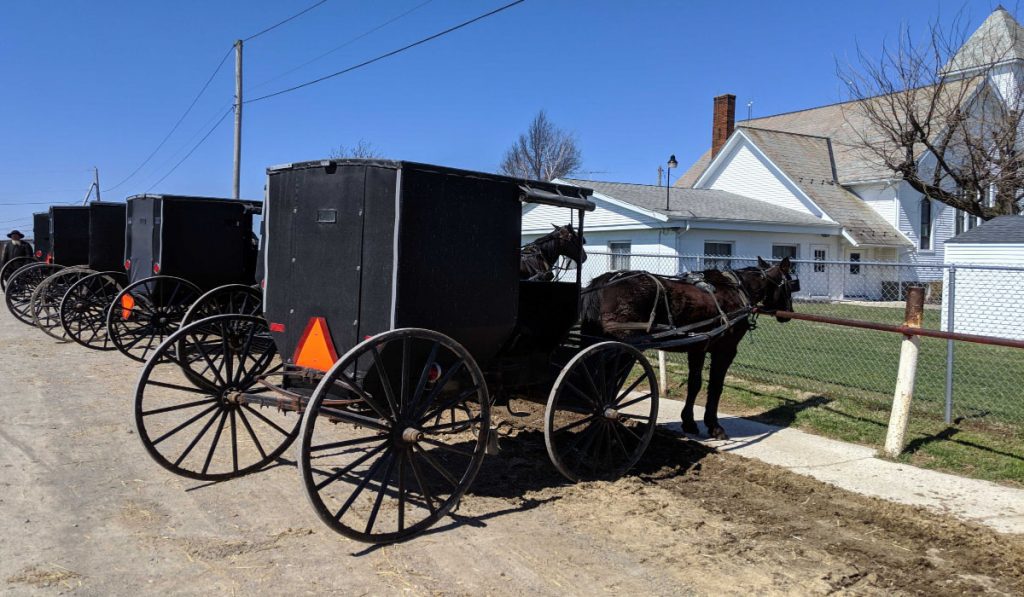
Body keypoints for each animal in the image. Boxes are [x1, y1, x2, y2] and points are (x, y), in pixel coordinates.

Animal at [581, 257, 794, 438]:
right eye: (791, 284)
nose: (788, 313)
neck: (737, 290)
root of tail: (603, 282)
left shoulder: (697, 348)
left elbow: (695, 384)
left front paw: (689, 422)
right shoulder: (725, 351)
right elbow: (715, 386)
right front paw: (714, 426)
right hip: (623, 350)